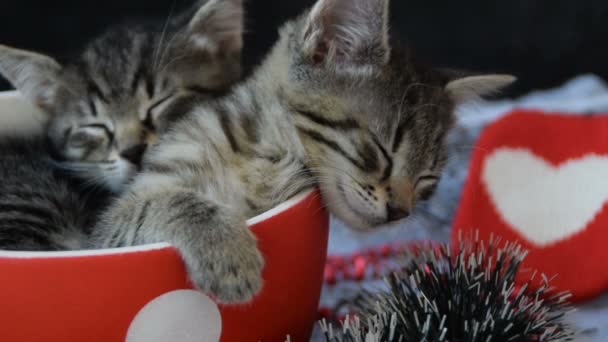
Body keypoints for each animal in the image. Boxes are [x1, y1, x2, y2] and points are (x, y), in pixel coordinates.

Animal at [92, 0, 516, 304]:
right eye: (382, 150)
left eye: (428, 178)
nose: (401, 212)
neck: (265, 154)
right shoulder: (117, 221)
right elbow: (172, 201)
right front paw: (227, 254)